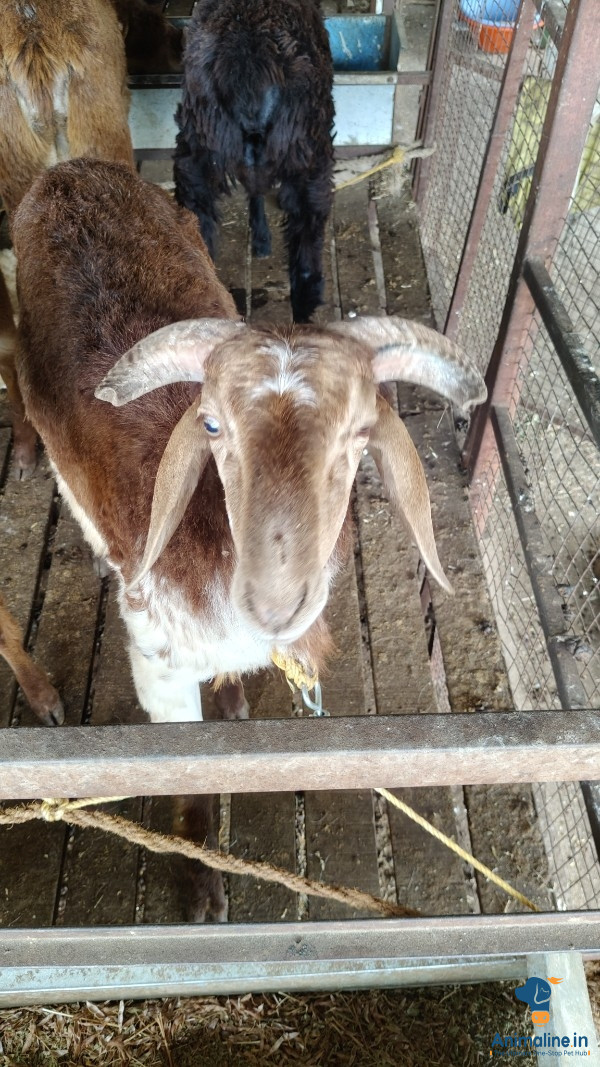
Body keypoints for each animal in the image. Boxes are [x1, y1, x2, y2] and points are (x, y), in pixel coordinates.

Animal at [13, 158, 486, 918]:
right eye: (212, 425)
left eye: (361, 432)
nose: (277, 600)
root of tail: (68, 173)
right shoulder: (160, 665)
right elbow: (193, 780)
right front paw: (201, 888)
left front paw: (235, 700)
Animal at [173, 0, 335, 324]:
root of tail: (248, 65)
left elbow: (255, 188)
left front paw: (260, 238)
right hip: (310, 152)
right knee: (307, 267)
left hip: (197, 150)